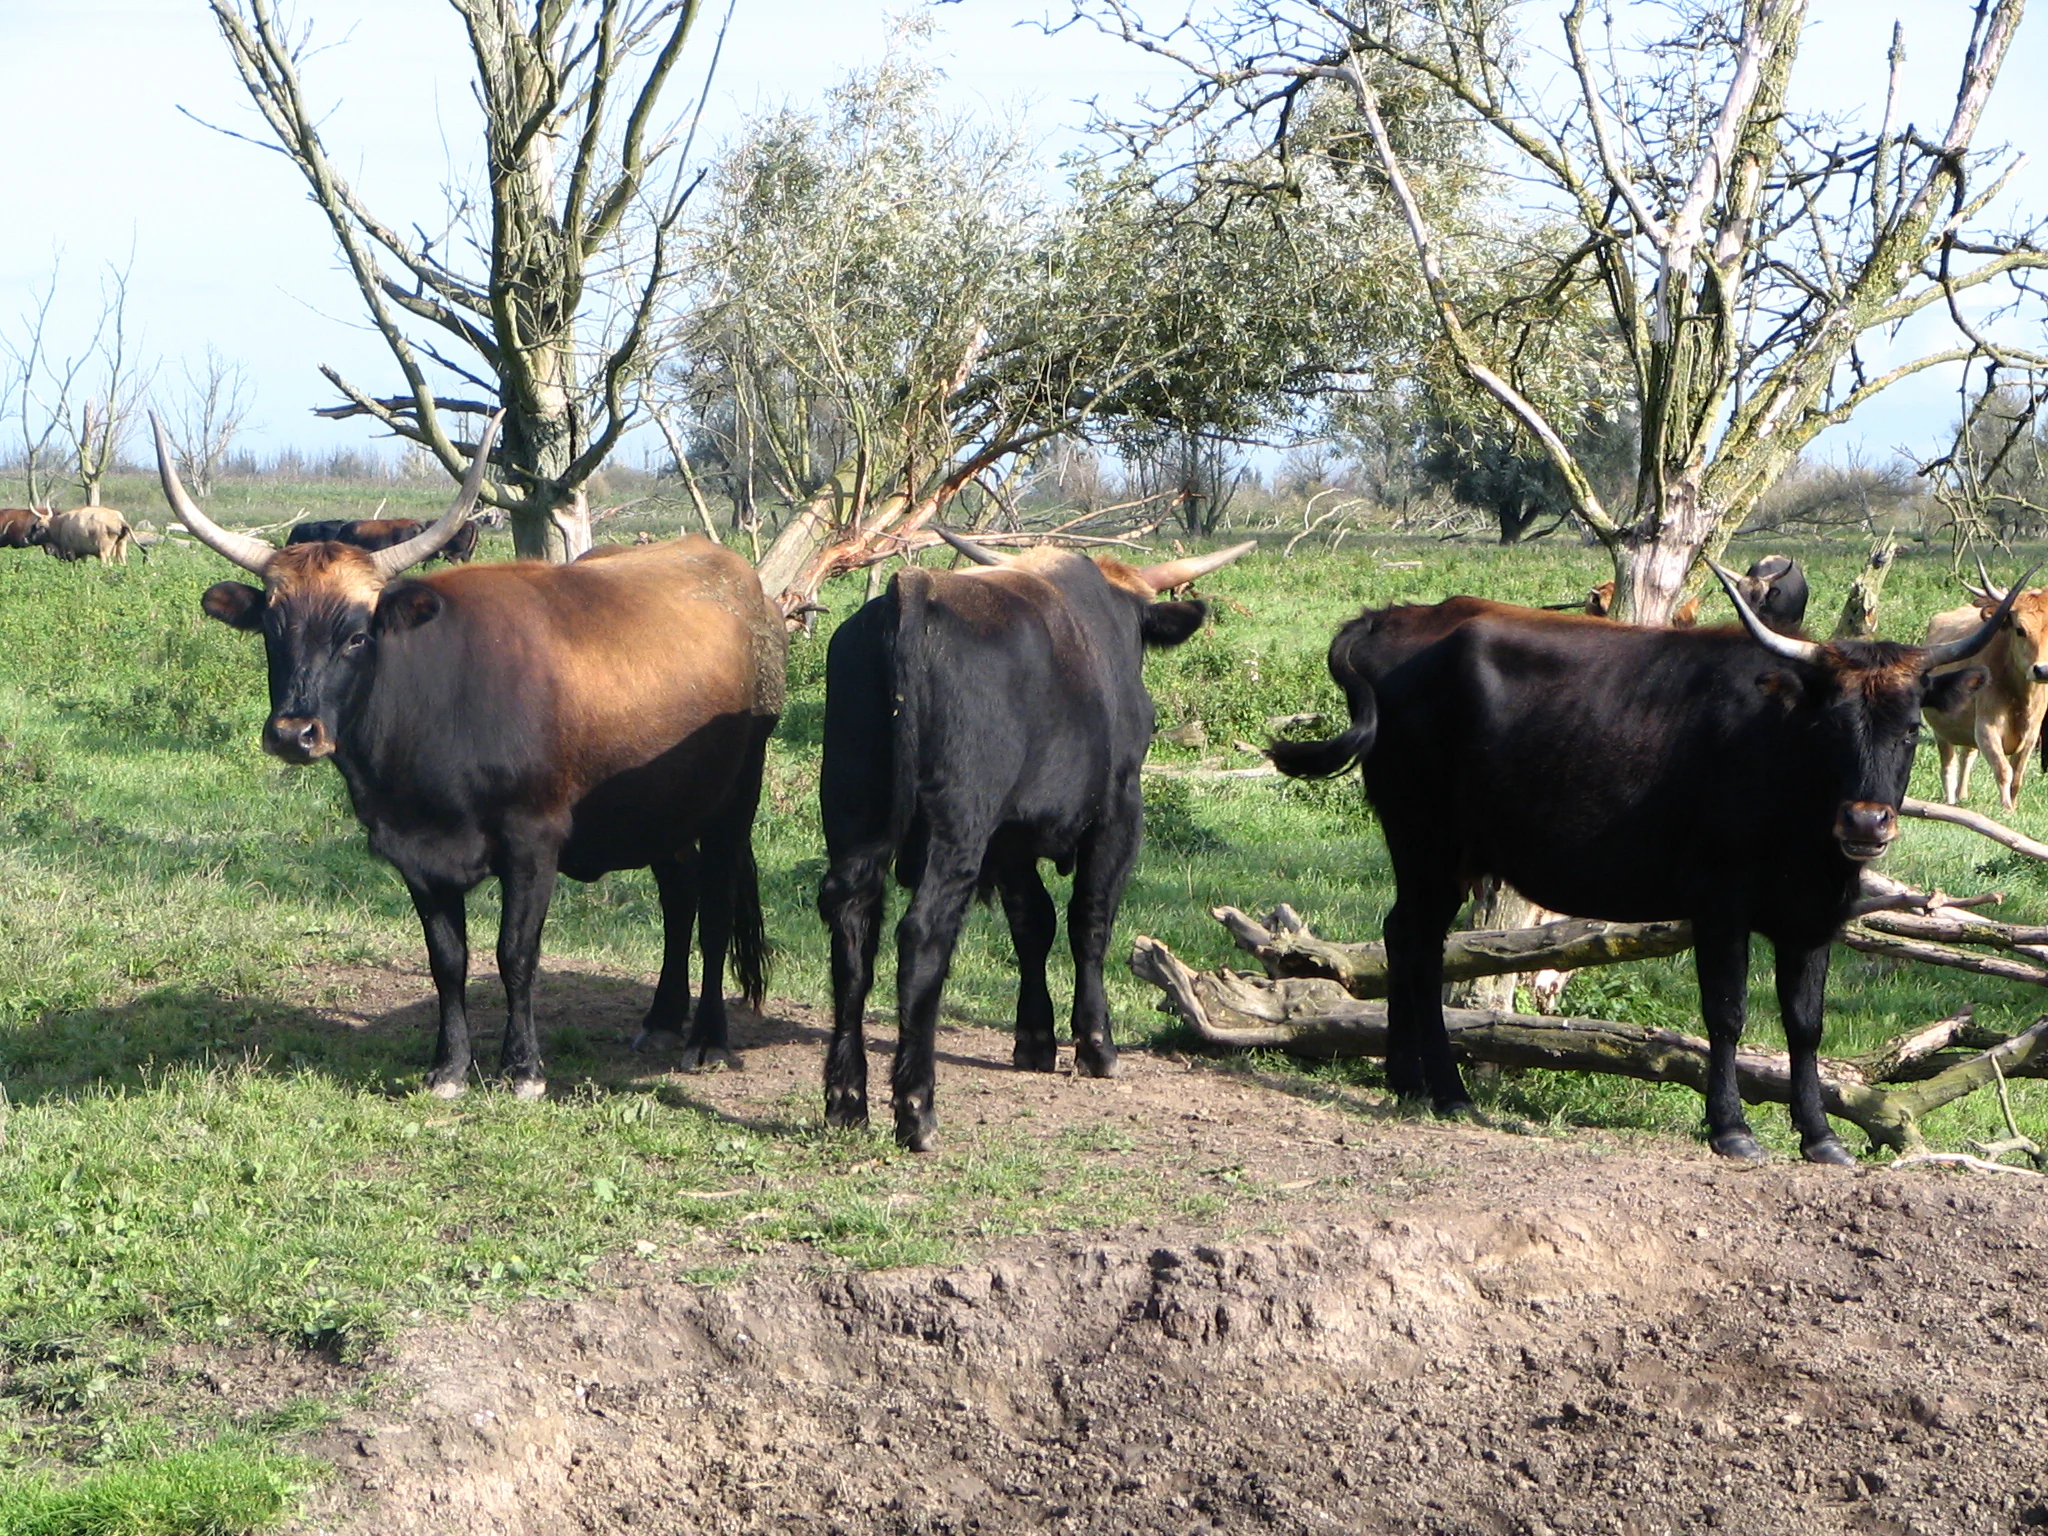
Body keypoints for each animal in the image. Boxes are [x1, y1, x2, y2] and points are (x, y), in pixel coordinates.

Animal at [153, 413, 784, 1096]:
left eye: (357, 635)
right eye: (272, 630)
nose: (294, 734)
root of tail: (741, 581)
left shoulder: (533, 844)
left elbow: (515, 954)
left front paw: (524, 1068)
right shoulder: (414, 854)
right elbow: (447, 961)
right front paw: (449, 1066)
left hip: (734, 800)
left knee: (715, 905)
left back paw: (707, 1038)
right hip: (661, 811)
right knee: (679, 894)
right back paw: (664, 1019)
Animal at [818, 529, 1253, 1150]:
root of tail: (914, 587)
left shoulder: (1010, 840)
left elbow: (1033, 925)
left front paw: (1035, 1039)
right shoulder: (1120, 811)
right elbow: (1088, 921)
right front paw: (1096, 1044)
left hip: (855, 818)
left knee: (852, 935)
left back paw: (845, 1100)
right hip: (959, 824)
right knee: (923, 934)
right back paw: (916, 1109)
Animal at [1269, 565, 2021, 1164]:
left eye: (1911, 727)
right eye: (1831, 723)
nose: (1865, 822)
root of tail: (1394, 617)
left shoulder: (1815, 917)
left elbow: (1805, 1026)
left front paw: (1820, 1137)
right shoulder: (1720, 905)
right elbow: (1727, 1014)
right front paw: (1731, 1129)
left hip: (1441, 854)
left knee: (1407, 938)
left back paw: (1411, 1083)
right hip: (1424, 839)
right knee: (1417, 944)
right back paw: (1445, 1090)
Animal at [1922, 556, 2048, 809]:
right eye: (2020, 629)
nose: (2043, 669)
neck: (2021, 700)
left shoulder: (2032, 734)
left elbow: (2017, 776)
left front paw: (2013, 807)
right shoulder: (1986, 728)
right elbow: (2004, 770)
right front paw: (2006, 808)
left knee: (1966, 757)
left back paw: (1962, 796)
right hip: (1942, 732)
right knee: (1948, 766)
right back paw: (1950, 801)